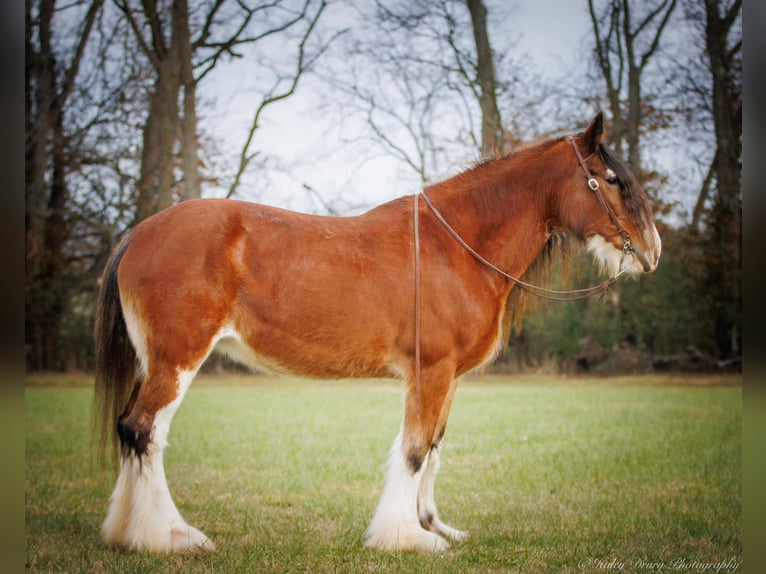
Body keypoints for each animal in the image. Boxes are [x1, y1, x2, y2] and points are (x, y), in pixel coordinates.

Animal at [94, 111, 660, 552]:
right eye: (610, 179)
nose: (653, 250)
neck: (455, 247)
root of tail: (138, 233)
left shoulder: (448, 378)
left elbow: (434, 448)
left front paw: (434, 527)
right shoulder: (430, 371)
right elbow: (413, 450)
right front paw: (408, 538)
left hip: (156, 363)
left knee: (131, 430)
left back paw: (132, 533)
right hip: (178, 360)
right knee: (144, 431)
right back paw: (166, 537)